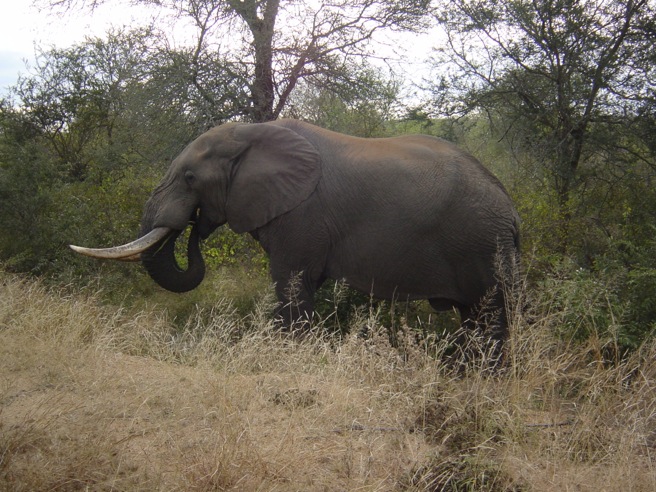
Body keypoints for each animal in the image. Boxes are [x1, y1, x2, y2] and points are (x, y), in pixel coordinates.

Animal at [72, 117, 520, 344]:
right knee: (476, 320)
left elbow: (290, 283)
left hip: (485, 247)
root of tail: (512, 208)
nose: (197, 225)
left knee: (490, 320)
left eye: (189, 177)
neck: (252, 134)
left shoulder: (303, 215)